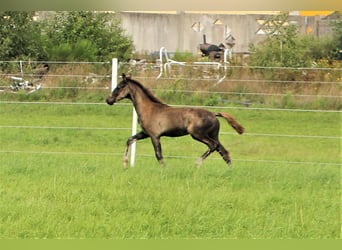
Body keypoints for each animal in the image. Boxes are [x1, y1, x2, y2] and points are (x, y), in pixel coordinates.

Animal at [105, 74, 244, 168]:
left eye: (119, 87)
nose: (108, 100)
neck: (149, 109)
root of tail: (214, 114)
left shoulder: (154, 136)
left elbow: (158, 154)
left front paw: (164, 169)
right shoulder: (145, 133)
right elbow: (130, 140)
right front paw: (124, 164)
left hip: (197, 134)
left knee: (213, 146)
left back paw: (197, 163)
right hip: (214, 135)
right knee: (223, 151)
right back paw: (230, 170)